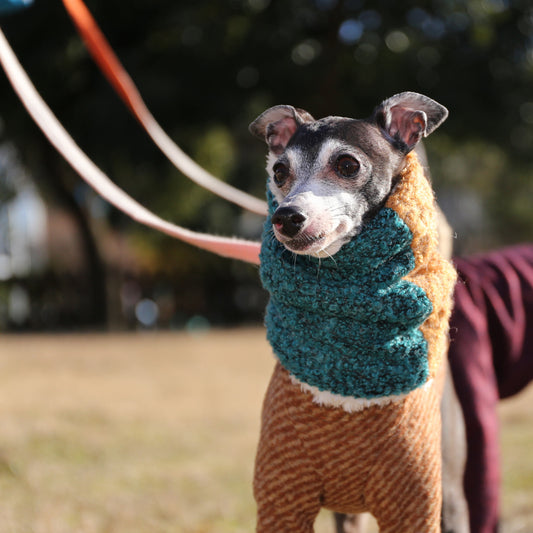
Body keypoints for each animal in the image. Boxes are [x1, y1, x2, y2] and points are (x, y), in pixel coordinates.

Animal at [250, 92, 462, 532]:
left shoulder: (414, 506)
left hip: (449, 490)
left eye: (347, 164)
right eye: (279, 171)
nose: (286, 217)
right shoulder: (281, 499)